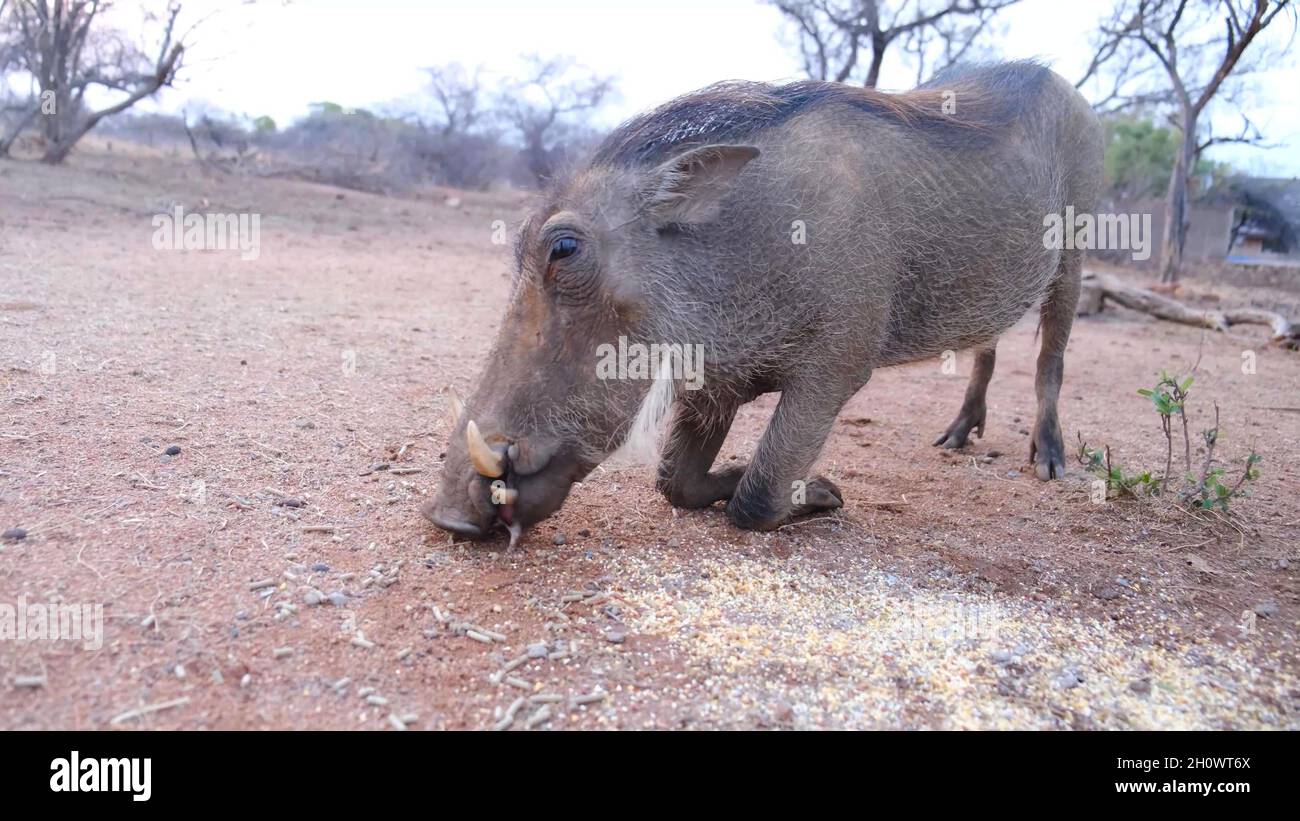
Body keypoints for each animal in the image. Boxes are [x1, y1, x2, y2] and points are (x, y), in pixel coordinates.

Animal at [424, 61, 1103, 545]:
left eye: (563, 249)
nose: (447, 517)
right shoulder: (716, 378)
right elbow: (674, 483)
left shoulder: (835, 367)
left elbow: (758, 494)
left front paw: (823, 493)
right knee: (988, 344)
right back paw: (957, 437)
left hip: (1073, 255)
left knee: (1052, 357)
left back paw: (1049, 461)